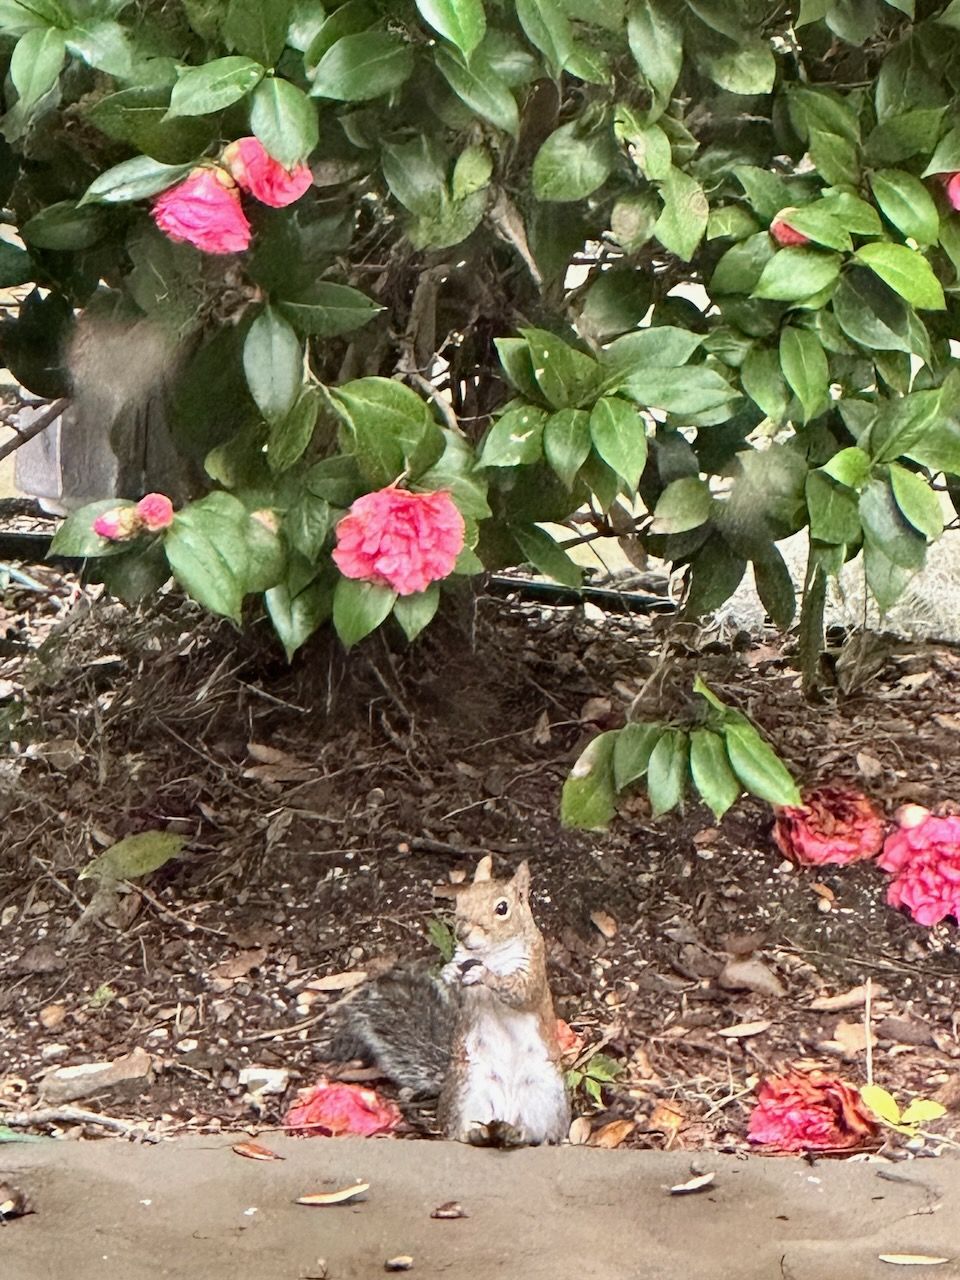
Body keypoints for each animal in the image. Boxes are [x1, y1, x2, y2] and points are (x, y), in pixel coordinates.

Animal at [330, 855, 570, 1146]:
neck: (489, 953)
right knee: (462, 1132)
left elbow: (522, 992)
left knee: (536, 1134)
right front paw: (449, 973)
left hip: (546, 1097)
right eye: (461, 899)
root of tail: (506, 1113)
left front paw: (486, 975)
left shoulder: (534, 967)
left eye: (502, 908)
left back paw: (515, 1134)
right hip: (468, 1092)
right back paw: (480, 1132)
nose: (462, 932)